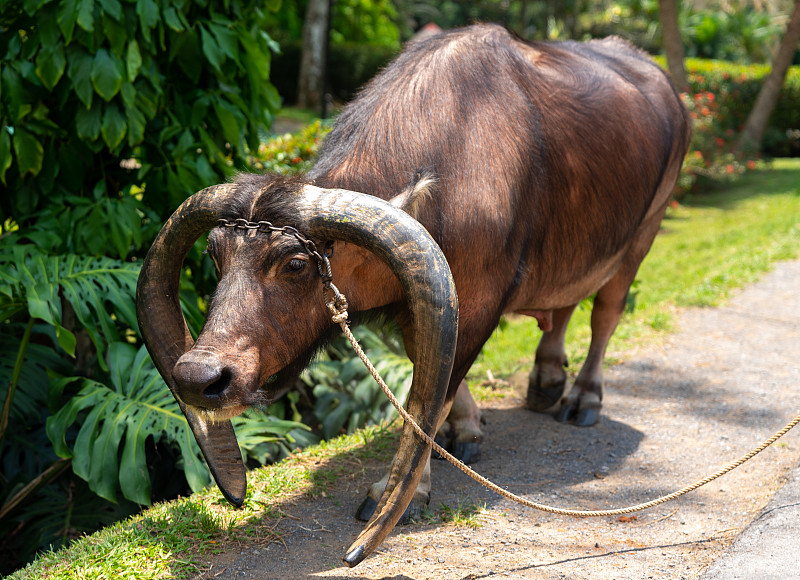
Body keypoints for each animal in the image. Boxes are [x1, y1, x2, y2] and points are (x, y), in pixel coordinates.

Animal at [136, 23, 688, 568]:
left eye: (295, 264)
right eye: (216, 255)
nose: (199, 376)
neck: (452, 162)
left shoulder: (476, 304)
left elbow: (433, 393)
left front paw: (404, 490)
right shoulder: (424, 300)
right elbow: (428, 375)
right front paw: (465, 432)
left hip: (645, 232)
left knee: (605, 315)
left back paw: (582, 397)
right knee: (566, 302)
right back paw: (548, 379)